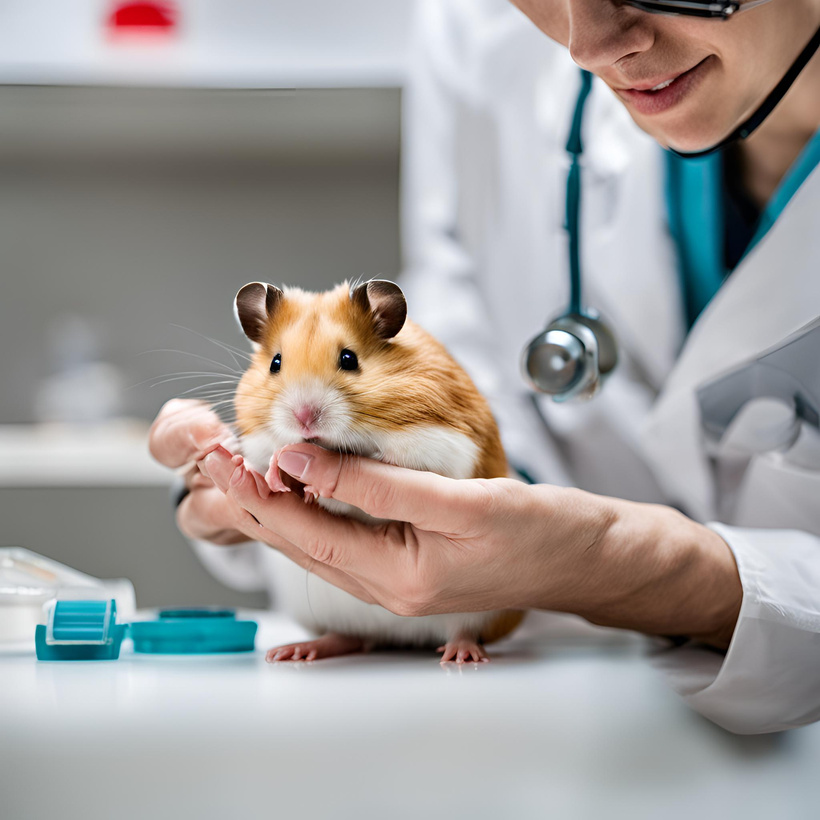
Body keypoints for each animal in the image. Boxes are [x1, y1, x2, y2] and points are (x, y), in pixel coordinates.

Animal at [231, 278, 524, 664]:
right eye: (275, 363)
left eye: (349, 359)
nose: (304, 418)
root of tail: (399, 636)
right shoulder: (259, 437)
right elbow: (270, 454)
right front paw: (270, 474)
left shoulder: (442, 446)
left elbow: (384, 464)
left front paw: (316, 489)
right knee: (350, 636)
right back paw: (296, 651)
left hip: (482, 609)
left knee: (463, 630)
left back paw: (463, 655)